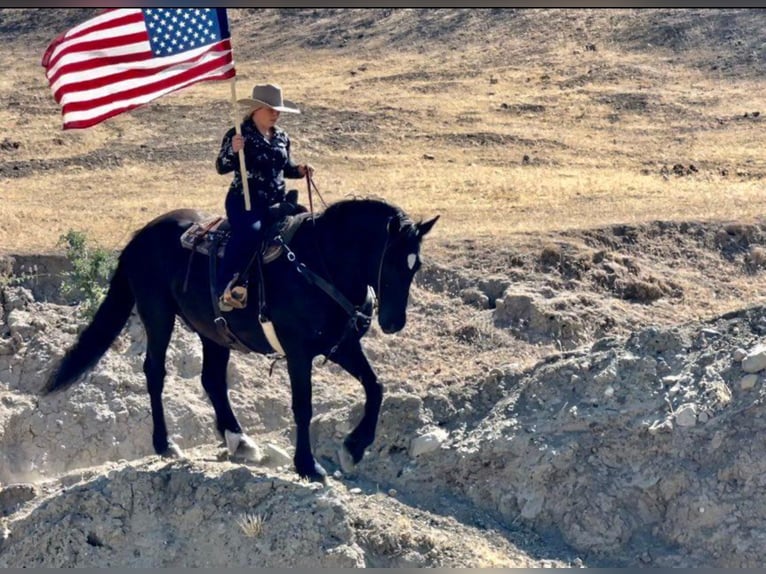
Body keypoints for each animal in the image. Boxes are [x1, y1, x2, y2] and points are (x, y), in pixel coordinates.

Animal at [43, 200, 438, 484]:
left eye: (415, 267)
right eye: (391, 263)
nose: (393, 322)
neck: (318, 265)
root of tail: (141, 236)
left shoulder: (340, 346)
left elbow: (376, 386)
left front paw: (353, 449)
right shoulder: (298, 353)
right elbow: (303, 406)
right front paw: (308, 466)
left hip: (213, 332)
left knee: (212, 380)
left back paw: (240, 440)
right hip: (158, 314)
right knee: (155, 373)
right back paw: (166, 444)